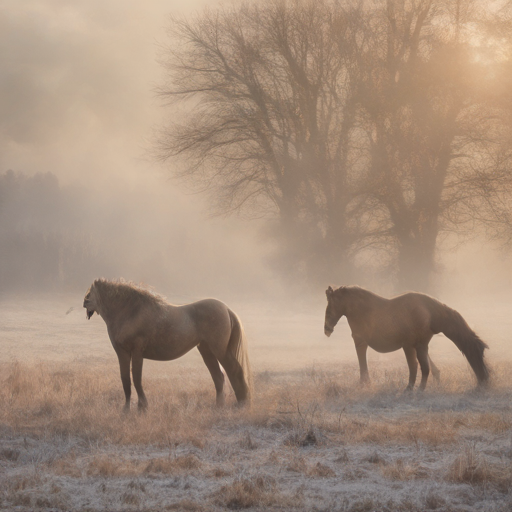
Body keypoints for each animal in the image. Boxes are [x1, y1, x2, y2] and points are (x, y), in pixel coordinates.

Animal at [83, 278, 253, 410]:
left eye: (91, 293)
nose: (84, 302)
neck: (131, 313)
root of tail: (226, 308)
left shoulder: (137, 352)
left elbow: (136, 378)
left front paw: (142, 407)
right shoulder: (122, 353)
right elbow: (125, 380)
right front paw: (126, 410)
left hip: (219, 351)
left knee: (234, 371)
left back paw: (242, 403)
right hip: (207, 351)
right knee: (218, 376)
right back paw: (220, 406)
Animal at [324, 286, 488, 390]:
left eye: (329, 307)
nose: (327, 329)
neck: (361, 310)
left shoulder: (360, 342)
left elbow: (362, 364)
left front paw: (364, 384)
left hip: (411, 346)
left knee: (417, 366)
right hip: (417, 345)